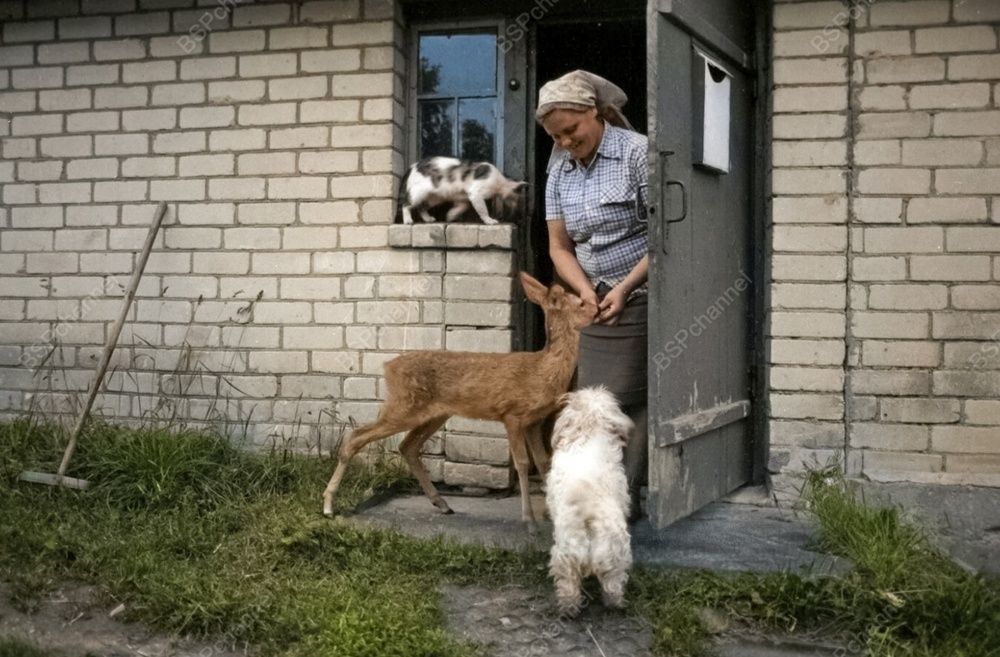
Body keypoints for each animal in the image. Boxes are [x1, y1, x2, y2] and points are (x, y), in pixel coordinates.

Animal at [321, 271, 598, 534]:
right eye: (579, 302)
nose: (597, 307)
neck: (543, 369)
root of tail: (388, 367)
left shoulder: (534, 421)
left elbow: (544, 462)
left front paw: (551, 515)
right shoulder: (512, 415)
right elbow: (522, 464)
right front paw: (529, 521)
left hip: (433, 414)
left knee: (407, 446)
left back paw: (442, 504)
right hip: (403, 407)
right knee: (356, 437)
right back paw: (328, 506)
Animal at [397, 157, 528, 225]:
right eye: (519, 201)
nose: (519, 216)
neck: (500, 181)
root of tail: (412, 166)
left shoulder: (463, 198)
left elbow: (463, 207)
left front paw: (450, 216)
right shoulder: (475, 193)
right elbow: (483, 210)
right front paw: (489, 220)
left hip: (434, 197)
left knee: (421, 207)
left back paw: (428, 219)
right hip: (419, 192)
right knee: (406, 204)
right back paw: (408, 220)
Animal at [546, 386, 634, 616]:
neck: (588, 431)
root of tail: (588, 516)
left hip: (566, 556)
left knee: (569, 586)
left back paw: (568, 609)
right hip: (615, 555)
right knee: (612, 585)